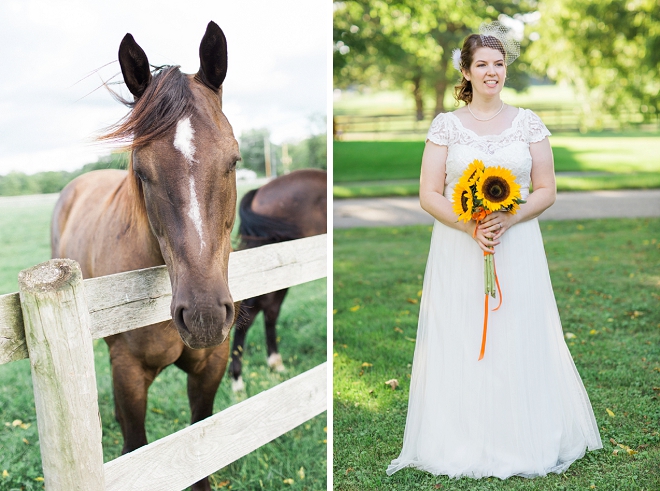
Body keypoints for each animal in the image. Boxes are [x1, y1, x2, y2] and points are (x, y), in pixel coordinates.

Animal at [52, 23, 237, 491]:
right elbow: (136, 443)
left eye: (233, 160)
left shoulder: (211, 365)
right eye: (141, 171)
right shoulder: (128, 372)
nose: (205, 316)